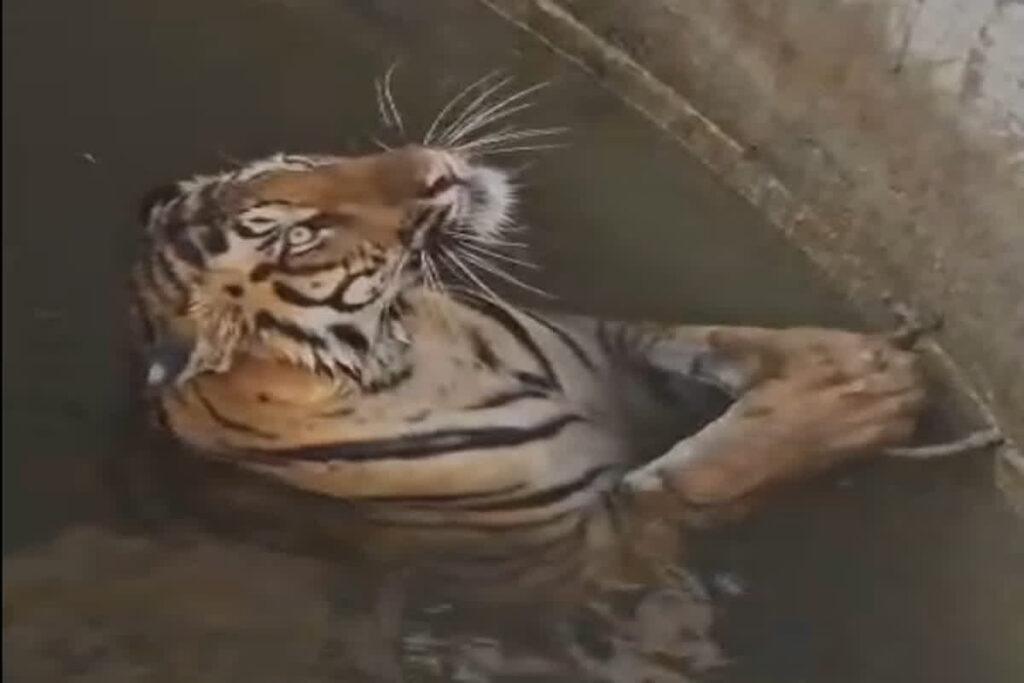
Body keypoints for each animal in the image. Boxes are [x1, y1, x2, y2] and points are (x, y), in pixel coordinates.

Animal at [127, 82, 928, 594]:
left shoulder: (609, 345)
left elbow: (712, 340)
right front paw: (859, 402)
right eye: (300, 237)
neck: (415, 345)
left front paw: (847, 363)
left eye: (304, 165)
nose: (435, 170)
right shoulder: (589, 549)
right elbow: (696, 478)